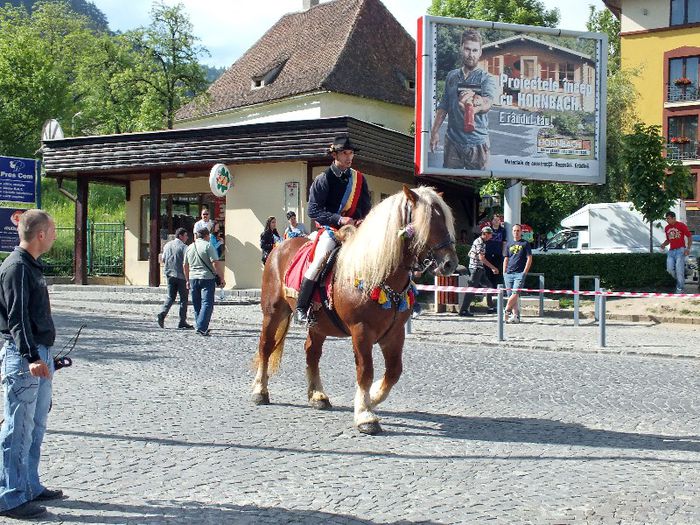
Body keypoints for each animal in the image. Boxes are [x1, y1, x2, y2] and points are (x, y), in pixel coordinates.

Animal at [253, 184, 460, 434]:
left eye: (444, 220)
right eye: (427, 222)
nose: (450, 263)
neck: (375, 272)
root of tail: (278, 247)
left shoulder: (394, 333)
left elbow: (394, 371)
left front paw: (373, 397)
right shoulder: (361, 332)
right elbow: (365, 371)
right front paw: (364, 415)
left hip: (318, 324)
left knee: (312, 352)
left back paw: (317, 395)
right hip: (273, 312)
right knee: (265, 346)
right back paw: (260, 391)